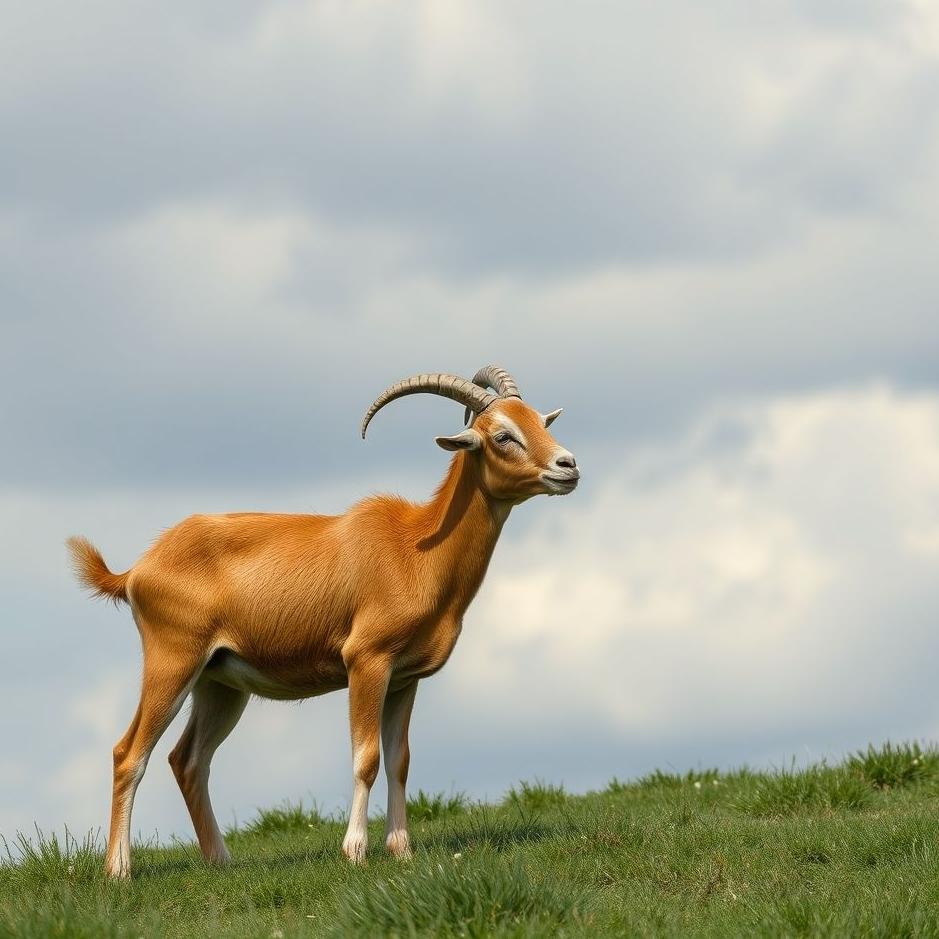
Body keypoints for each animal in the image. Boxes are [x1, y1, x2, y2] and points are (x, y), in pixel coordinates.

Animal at [67, 366, 579, 878]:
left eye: (540, 421)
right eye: (502, 435)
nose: (567, 465)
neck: (416, 548)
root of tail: (136, 570)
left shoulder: (404, 679)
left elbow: (399, 760)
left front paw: (402, 849)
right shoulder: (367, 663)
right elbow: (366, 758)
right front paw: (354, 851)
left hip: (220, 684)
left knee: (188, 760)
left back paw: (221, 861)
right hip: (173, 664)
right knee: (129, 753)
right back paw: (119, 871)